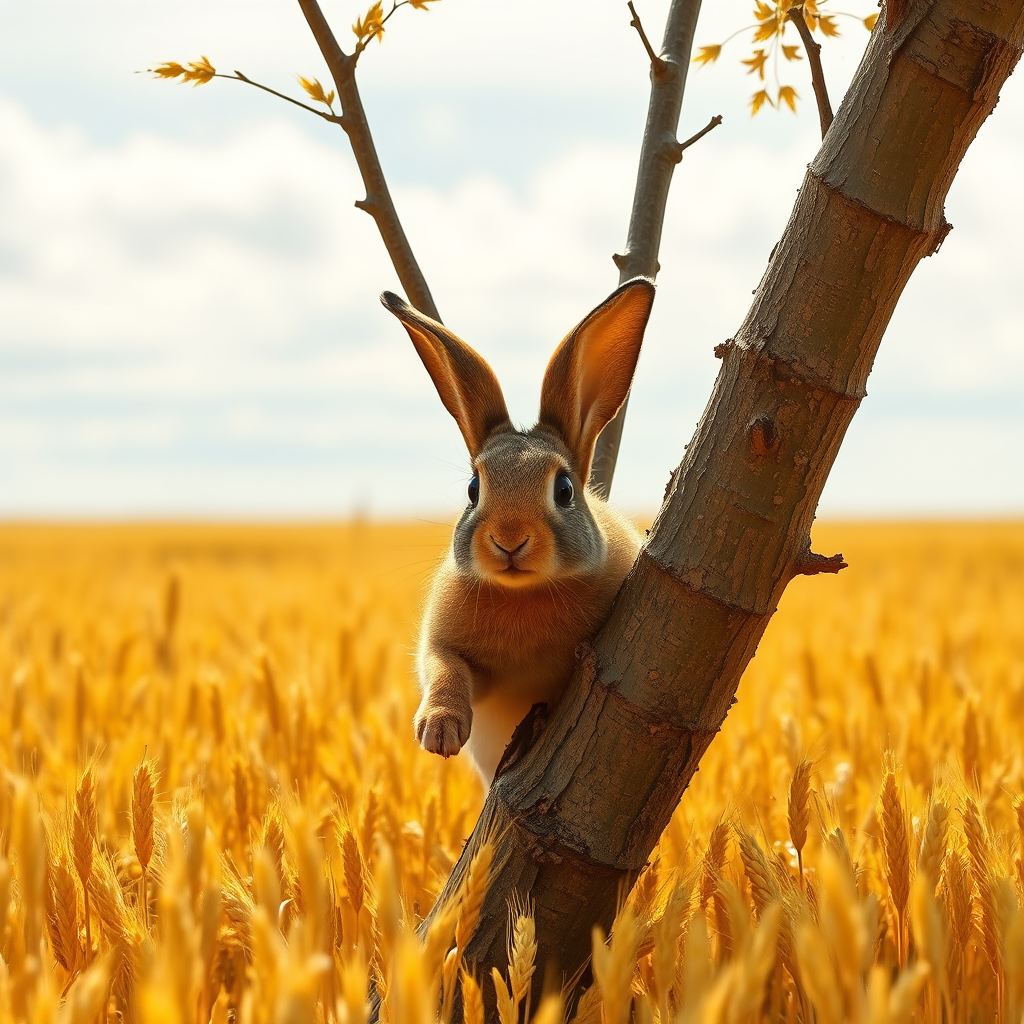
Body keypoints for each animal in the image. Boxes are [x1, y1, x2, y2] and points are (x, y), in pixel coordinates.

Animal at [378, 276, 655, 778]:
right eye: (473, 489)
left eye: (564, 489)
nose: (509, 541)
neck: (524, 594)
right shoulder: (446, 646)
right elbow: (444, 668)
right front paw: (439, 731)